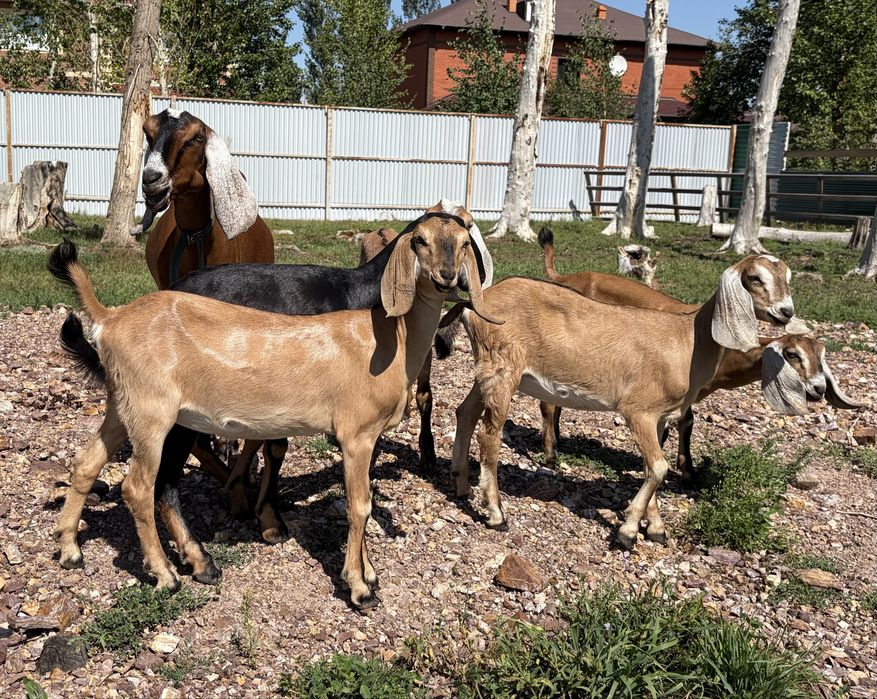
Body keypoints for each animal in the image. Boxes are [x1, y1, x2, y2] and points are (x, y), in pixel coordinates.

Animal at [50, 218, 500, 609]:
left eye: (464, 242)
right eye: (420, 240)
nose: (445, 276)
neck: (392, 339)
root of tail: (110, 318)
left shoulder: (367, 438)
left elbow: (363, 502)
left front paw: (369, 572)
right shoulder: (355, 434)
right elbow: (359, 506)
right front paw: (360, 588)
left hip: (122, 404)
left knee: (87, 461)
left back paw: (70, 549)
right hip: (153, 414)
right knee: (141, 487)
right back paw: (168, 574)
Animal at [450, 255, 802, 548]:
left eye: (787, 275)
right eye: (754, 277)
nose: (786, 311)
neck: (687, 339)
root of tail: (474, 305)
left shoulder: (660, 417)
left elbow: (651, 467)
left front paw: (656, 529)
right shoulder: (639, 410)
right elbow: (659, 467)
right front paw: (628, 531)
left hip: (487, 372)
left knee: (464, 413)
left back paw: (461, 485)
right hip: (502, 370)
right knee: (489, 435)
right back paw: (496, 514)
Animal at [536, 228, 859, 479]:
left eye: (820, 358)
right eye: (754, 278)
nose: (785, 311)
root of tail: (563, 276)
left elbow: (684, 422)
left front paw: (681, 468)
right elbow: (680, 423)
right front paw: (678, 470)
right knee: (548, 404)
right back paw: (552, 454)